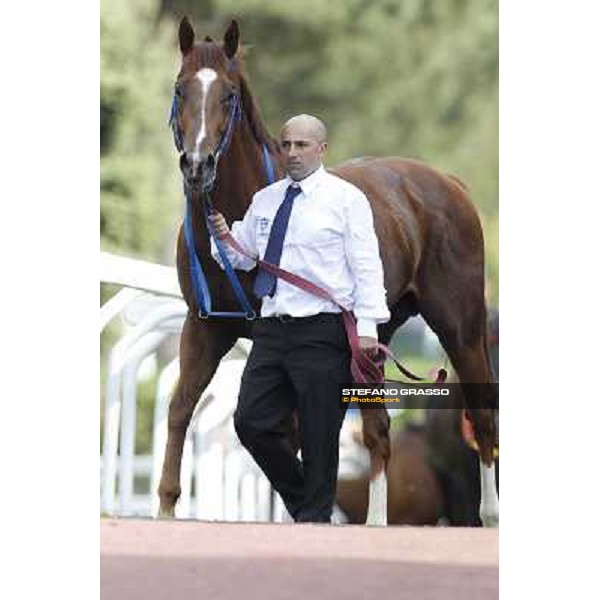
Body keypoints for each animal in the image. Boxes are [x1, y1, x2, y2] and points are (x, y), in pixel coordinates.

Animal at [157, 17, 500, 524]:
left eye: (229, 95)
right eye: (181, 89)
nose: (197, 166)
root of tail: (449, 184)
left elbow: (296, 428)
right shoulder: (205, 327)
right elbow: (182, 407)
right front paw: (165, 505)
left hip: (461, 327)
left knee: (482, 413)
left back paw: (490, 514)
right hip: (373, 338)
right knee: (378, 429)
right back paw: (375, 521)